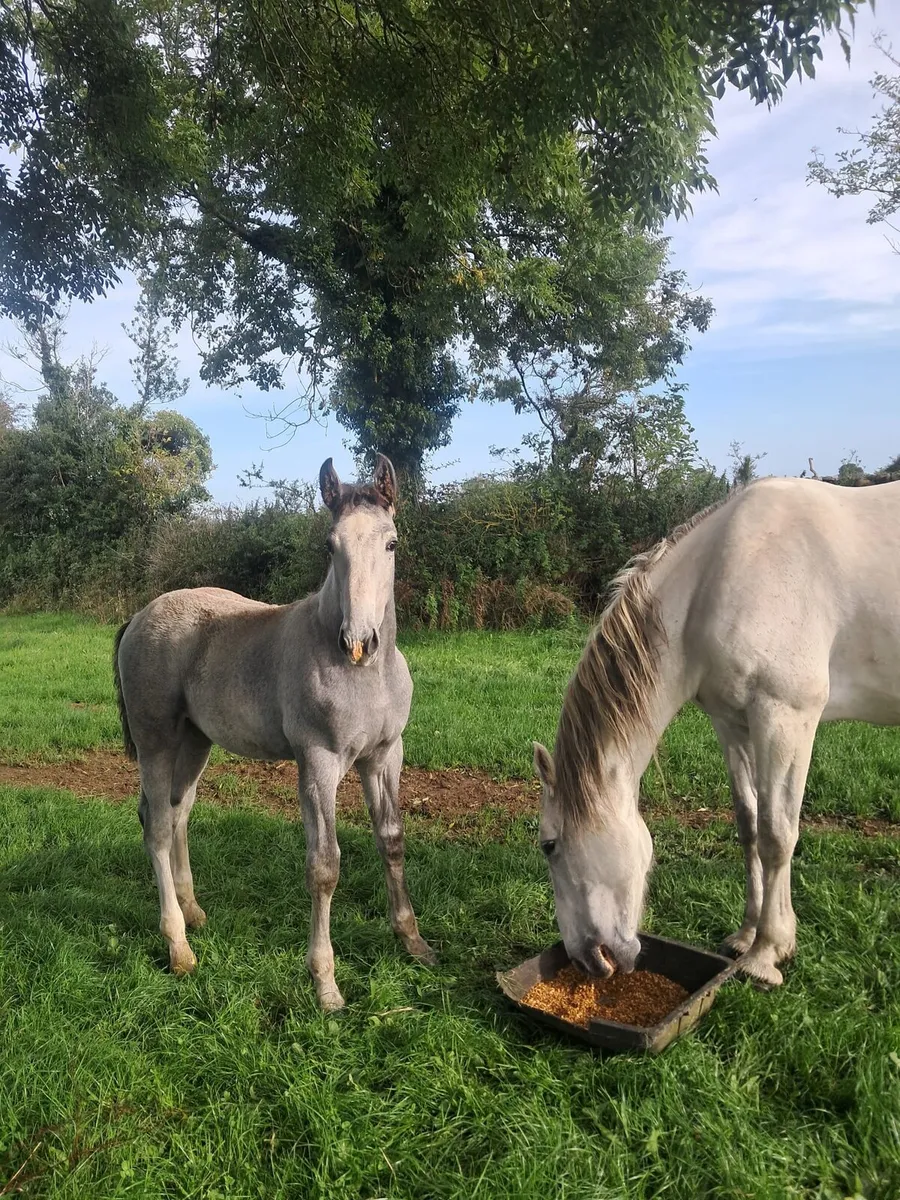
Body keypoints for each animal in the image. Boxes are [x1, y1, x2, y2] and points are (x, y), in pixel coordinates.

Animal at [113, 454, 434, 1010]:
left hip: (195, 741)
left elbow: (391, 840)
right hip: (155, 741)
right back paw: (179, 947)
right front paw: (325, 984)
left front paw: (412, 940)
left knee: (178, 813)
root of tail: (140, 614)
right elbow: (324, 866)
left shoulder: (385, 755)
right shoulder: (320, 763)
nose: (359, 641)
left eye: (391, 543)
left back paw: (193, 911)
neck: (365, 675)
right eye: (330, 545)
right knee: (155, 825)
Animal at [533, 477, 900, 987]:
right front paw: (747, 936)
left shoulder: (786, 717)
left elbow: (777, 834)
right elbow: (749, 825)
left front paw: (767, 953)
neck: (727, 573)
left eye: (549, 846)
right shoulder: (733, 723)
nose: (586, 959)